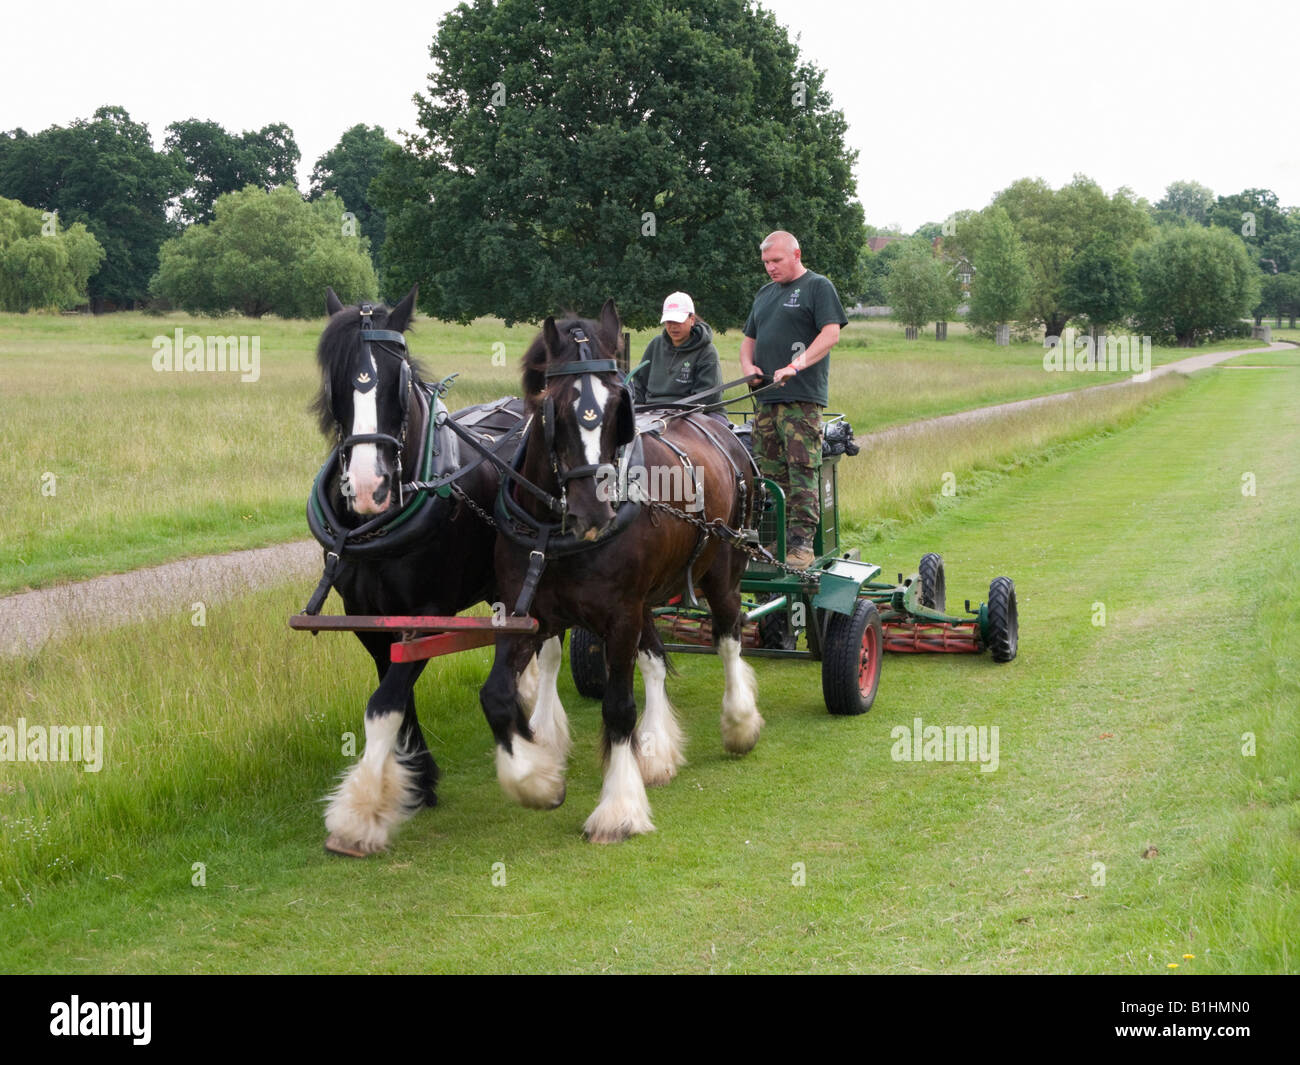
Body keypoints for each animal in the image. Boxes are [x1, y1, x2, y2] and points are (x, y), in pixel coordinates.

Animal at [307, 285, 552, 856]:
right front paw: (417, 780)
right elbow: (394, 692)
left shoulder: (429, 608)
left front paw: (359, 813)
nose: (367, 488)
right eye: (335, 378)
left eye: (397, 380)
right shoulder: (367, 616)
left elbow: (385, 701)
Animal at [478, 299, 764, 842]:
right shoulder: (528, 612)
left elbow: (617, 708)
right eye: (554, 407)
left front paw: (619, 808)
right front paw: (538, 779)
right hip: (647, 597)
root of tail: (714, 424)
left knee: (728, 636)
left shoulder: (620, 614)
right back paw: (655, 749)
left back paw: (739, 722)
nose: (596, 510)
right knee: (654, 660)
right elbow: (497, 695)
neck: (556, 532)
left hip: (722, 571)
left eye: (618, 408)